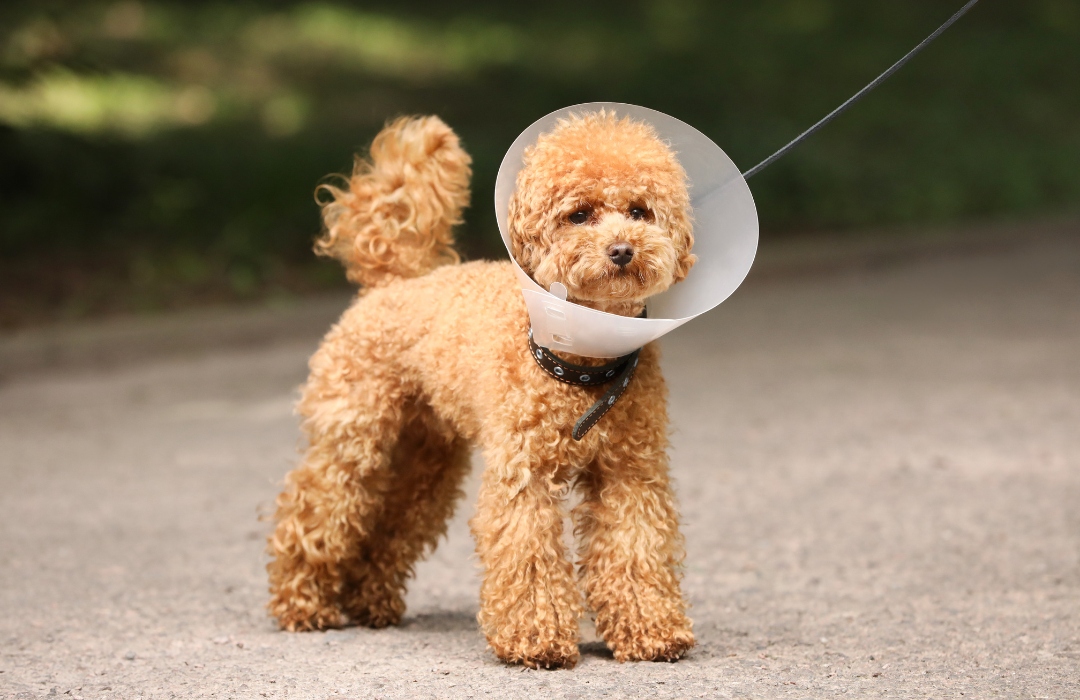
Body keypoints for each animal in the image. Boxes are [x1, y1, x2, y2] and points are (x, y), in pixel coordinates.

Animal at [265, 109, 695, 665]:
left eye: (640, 211)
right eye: (579, 215)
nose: (622, 250)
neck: (582, 366)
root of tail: (393, 282)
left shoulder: (630, 475)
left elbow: (635, 549)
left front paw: (651, 629)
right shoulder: (523, 473)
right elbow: (527, 553)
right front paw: (536, 639)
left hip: (426, 457)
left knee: (393, 521)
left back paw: (369, 601)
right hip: (354, 439)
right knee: (316, 509)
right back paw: (301, 604)